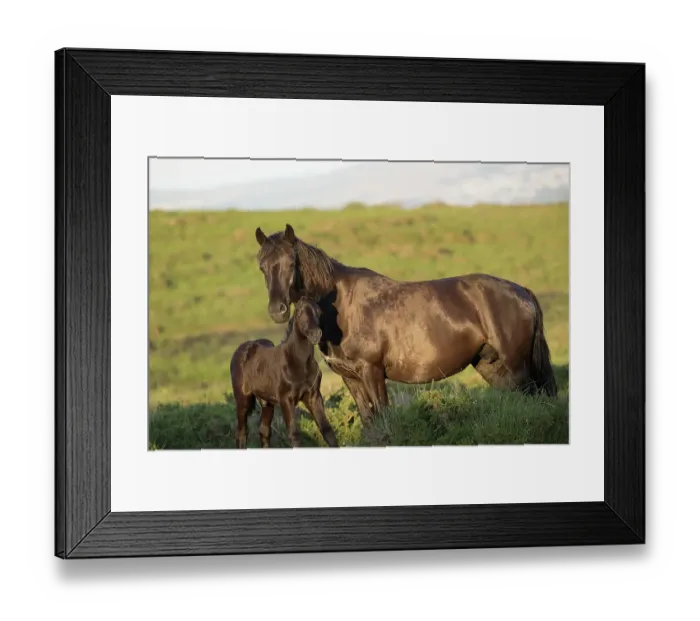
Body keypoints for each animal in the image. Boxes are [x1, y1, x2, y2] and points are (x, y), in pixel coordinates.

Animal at [229, 296, 339, 449]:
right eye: (299, 312)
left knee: (264, 431)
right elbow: (294, 434)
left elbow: (327, 431)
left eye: (319, 312)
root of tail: (243, 348)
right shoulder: (286, 400)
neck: (298, 363)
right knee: (241, 432)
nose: (315, 334)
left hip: (267, 402)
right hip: (243, 399)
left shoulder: (314, 397)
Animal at [254, 223, 558, 424]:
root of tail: (521, 291)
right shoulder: (350, 378)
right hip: (492, 367)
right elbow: (370, 424)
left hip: (518, 366)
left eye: (291, 262)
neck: (340, 306)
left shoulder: (372, 372)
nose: (277, 310)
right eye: (262, 266)